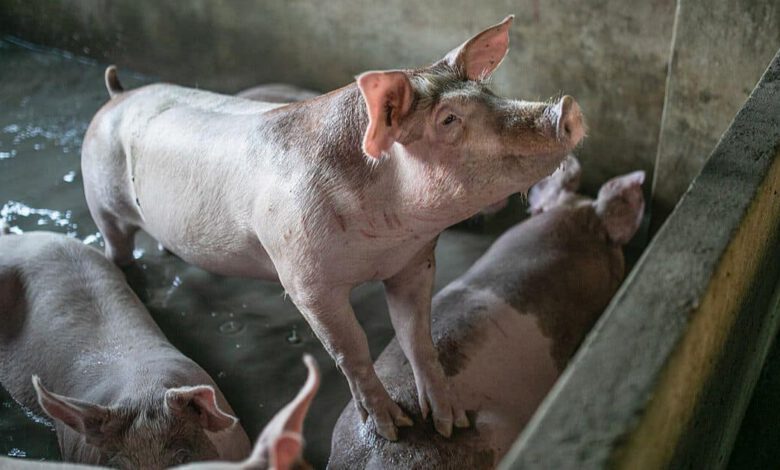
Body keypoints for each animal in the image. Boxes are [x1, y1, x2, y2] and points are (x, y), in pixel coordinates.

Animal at [81, 15, 585, 441]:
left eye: (490, 94)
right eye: (448, 119)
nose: (567, 107)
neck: (379, 244)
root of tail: (115, 96)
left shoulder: (414, 260)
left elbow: (418, 338)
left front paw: (451, 424)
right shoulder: (305, 281)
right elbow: (352, 352)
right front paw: (394, 430)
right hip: (101, 202)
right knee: (116, 245)